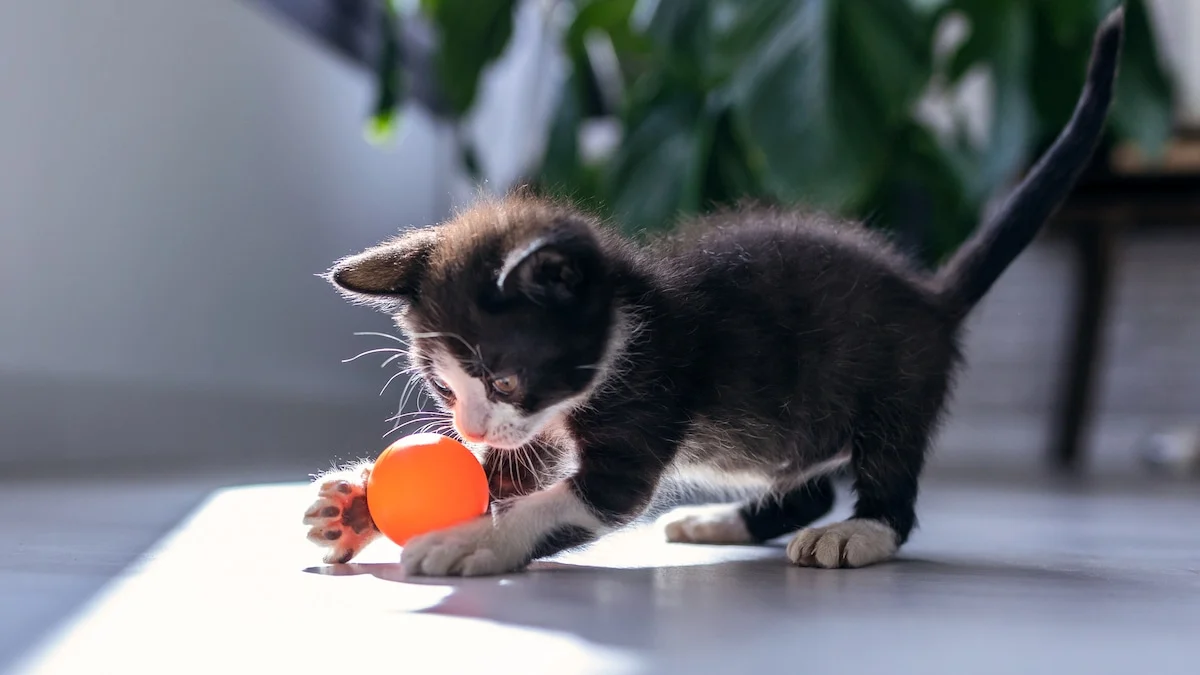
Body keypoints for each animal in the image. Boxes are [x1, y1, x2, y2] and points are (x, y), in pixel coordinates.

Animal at [304, 10, 1128, 571]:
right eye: (445, 391)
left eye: (503, 377)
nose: (468, 429)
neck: (628, 324)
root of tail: (930, 294)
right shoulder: (541, 424)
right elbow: (515, 468)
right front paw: (356, 508)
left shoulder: (645, 399)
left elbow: (570, 498)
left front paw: (474, 539)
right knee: (807, 481)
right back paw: (725, 522)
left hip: (896, 383)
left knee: (889, 473)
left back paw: (858, 531)